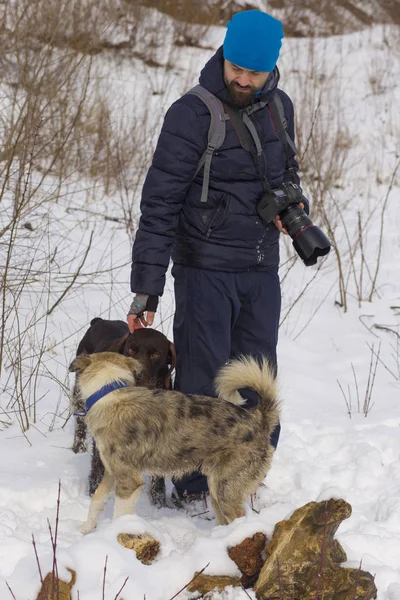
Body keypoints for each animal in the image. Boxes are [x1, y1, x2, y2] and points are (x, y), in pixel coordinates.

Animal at [69, 350, 280, 532]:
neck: (108, 391)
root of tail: (258, 419)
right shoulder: (112, 473)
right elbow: (96, 500)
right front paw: (86, 529)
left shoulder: (128, 481)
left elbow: (119, 516)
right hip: (216, 490)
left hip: (226, 490)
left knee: (241, 519)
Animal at [71, 316, 174, 504]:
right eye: (131, 349)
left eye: (156, 354)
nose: (138, 375)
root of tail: (100, 320)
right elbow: (98, 467)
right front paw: (93, 493)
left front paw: (159, 502)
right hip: (80, 394)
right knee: (80, 422)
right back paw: (78, 447)